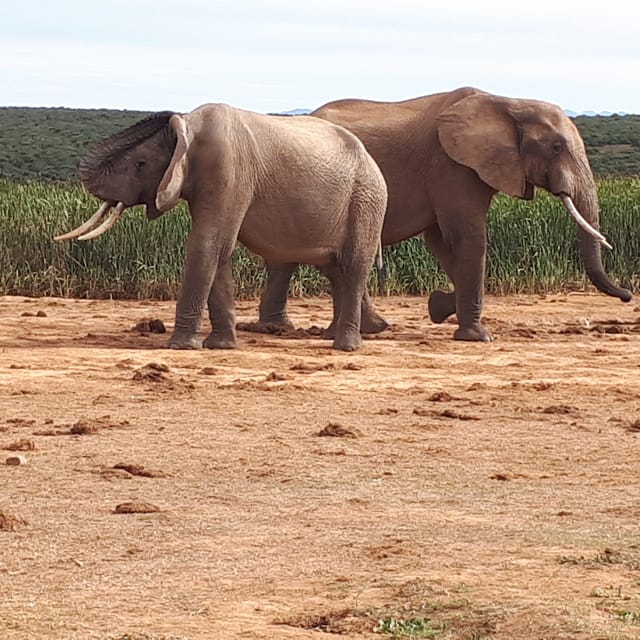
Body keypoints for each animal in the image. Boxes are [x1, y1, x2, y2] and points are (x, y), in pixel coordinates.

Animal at [56, 106, 384, 356]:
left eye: (140, 164)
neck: (189, 126)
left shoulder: (226, 169)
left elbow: (207, 244)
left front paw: (180, 348)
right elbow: (219, 251)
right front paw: (220, 347)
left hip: (366, 200)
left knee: (353, 266)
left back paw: (345, 347)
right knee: (334, 269)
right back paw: (340, 336)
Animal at [254, 87, 632, 342]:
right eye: (556, 147)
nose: (628, 294)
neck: (507, 101)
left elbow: (442, 241)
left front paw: (439, 307)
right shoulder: (452, 167)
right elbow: (467, 238)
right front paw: (477, 336)